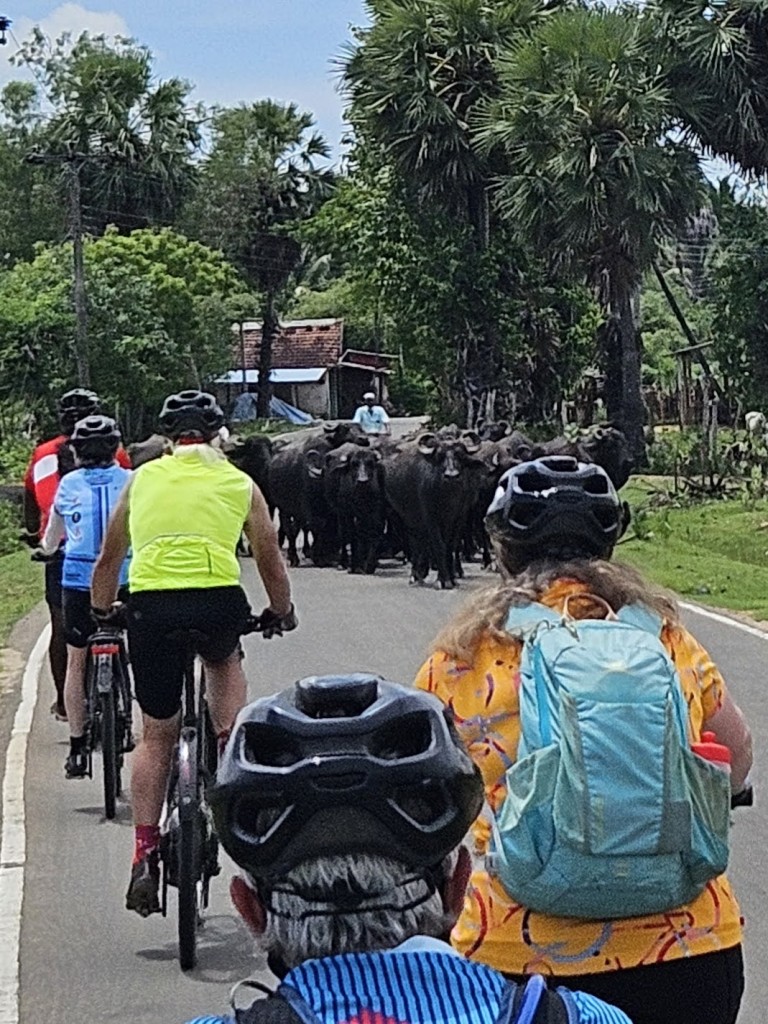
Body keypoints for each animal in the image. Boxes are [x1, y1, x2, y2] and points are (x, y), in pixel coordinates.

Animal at [385, 430, 487, 589]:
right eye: (440, 456)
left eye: (460, 456)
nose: (451, 475)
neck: (448, 497)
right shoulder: (430, 518)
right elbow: (439, 545)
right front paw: (442, 580)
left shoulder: (459, 518)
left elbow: (450, 546)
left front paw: (452, 578)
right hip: (409, 518)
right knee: (416, 543)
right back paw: (415, 575)